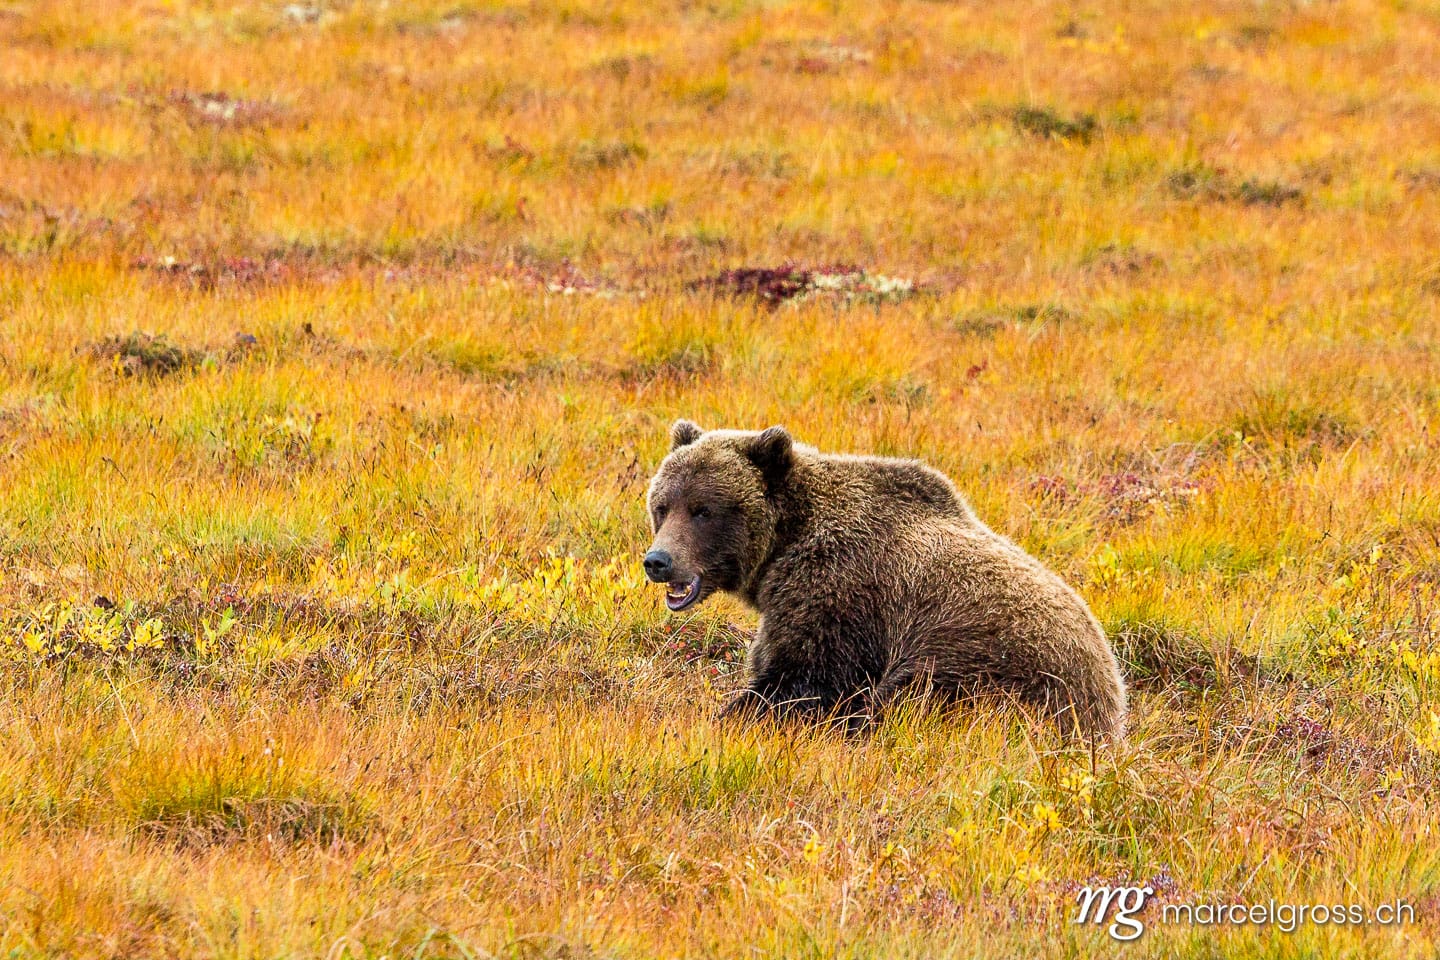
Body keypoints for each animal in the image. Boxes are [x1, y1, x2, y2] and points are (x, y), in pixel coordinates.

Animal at [643, 420, 1127, 741]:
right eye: (662, 506)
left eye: (704, 510)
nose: (658, 561)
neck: (782, 548)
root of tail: (1110, 700)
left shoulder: (842, 591)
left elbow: (803, 683)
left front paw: (723, 718)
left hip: (989, 668)